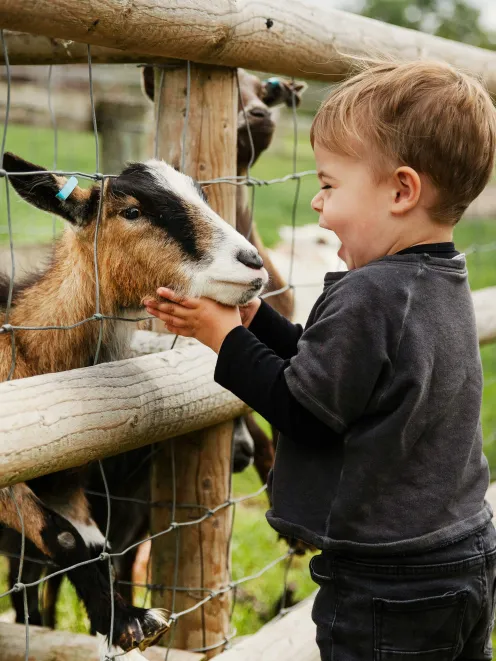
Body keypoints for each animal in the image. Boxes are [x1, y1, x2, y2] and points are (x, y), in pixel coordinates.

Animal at [0, 151, 268, 653]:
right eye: (131, 212)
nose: (252, 263)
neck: (25, 351)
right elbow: (64, 538)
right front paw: (127, 622)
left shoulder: (66, 480)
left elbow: (92, 544)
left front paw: (125, 620)